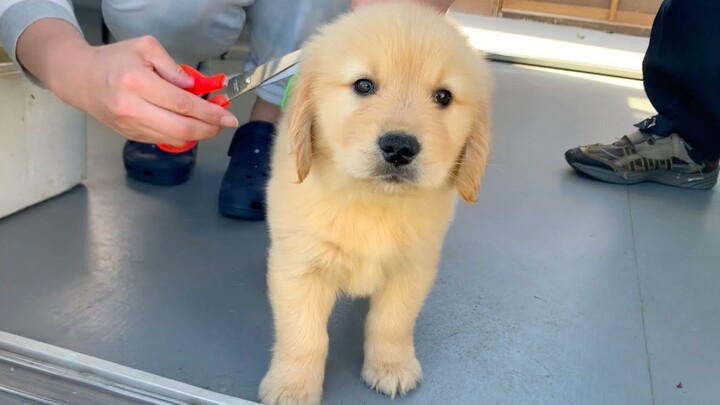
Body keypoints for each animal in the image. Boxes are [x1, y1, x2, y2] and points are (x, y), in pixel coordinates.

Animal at [258, 1, 490, 402]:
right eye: (363, 85)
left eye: (443, 96)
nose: (399, 147)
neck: (373, 201)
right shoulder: (300, 266)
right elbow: (304, 336)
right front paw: (292, 386)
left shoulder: (412, 266)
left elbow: (392, 322)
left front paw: (391, 366)